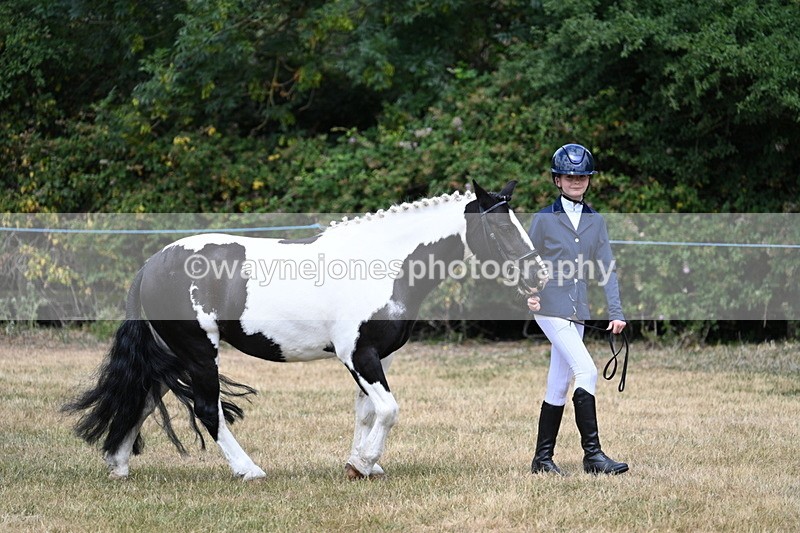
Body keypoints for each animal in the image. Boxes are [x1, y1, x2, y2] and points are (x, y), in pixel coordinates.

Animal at [64, 180, 549, 480]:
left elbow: (367, 412)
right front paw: (364, 462)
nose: (539, 275)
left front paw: (360, 464)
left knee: (144, 396)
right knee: (206, 409)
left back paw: (119, 464)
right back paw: (249, 470)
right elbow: (389, 409)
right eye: (500, 227)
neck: (380, 263)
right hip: (200, 353)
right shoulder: (358, 356)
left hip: (173, 355)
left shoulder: (375, 357)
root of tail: (151, 265)